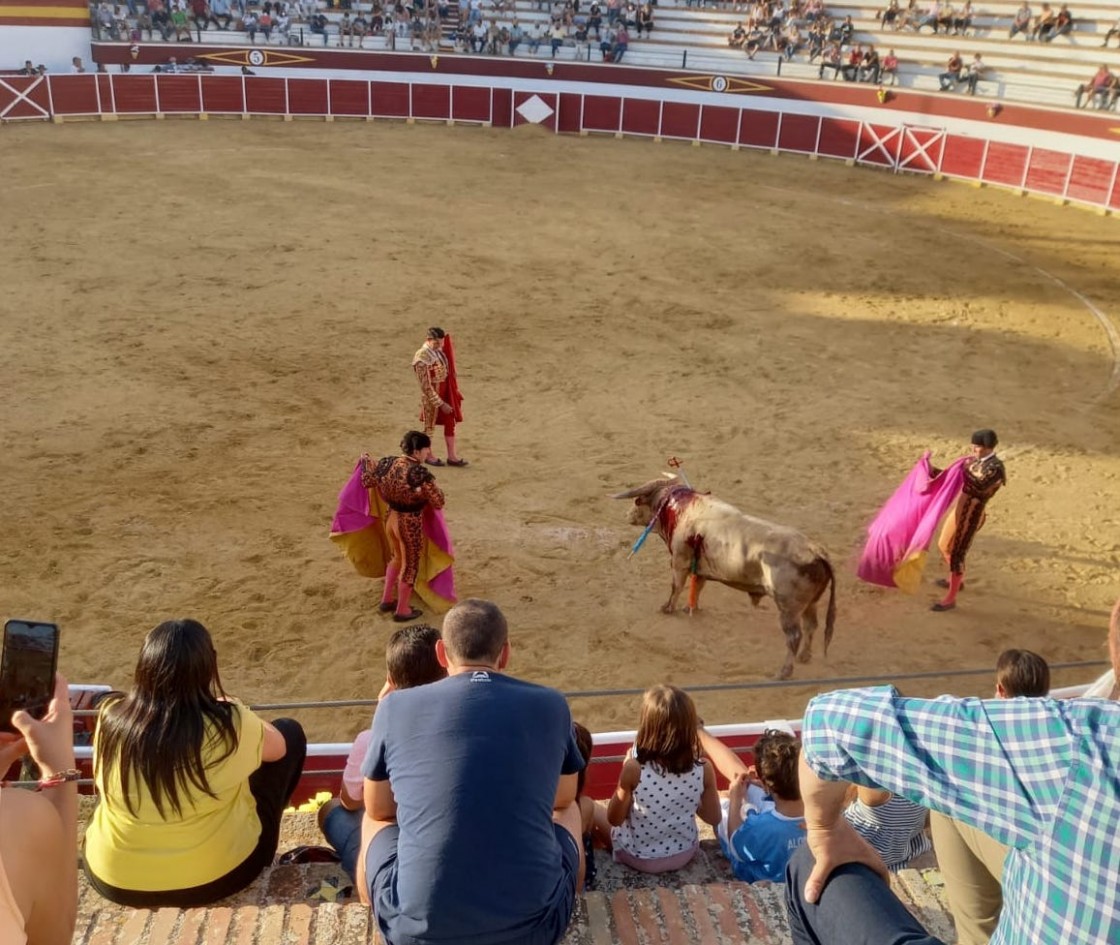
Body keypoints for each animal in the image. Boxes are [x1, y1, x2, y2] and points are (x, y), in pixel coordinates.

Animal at [618, 479, 837, 680]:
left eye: (637, 501)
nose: (626, 515)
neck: (681, 509)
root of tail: (815, 551)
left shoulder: (680, 561)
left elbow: (677, 586)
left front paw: (668, 608)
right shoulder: (700, 566)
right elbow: (698, 586)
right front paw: (691, 608)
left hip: (788, 608)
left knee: (794, 636)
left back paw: (784, 672)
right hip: (810, 603)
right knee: (811, 625)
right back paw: (804, 657)